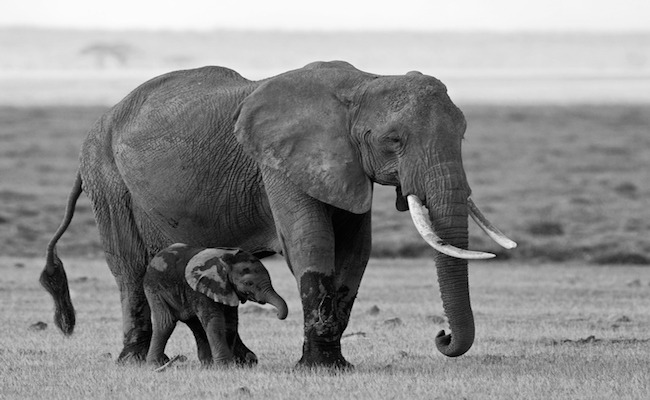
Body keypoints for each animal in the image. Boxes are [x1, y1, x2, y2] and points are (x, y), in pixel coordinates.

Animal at [143, 244, 288, 366]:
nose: (278, 314)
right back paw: (156, 364)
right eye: (248, 283)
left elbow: (230, 323)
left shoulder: (227, 289)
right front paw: (225, 366)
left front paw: (230, 364)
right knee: (165, 323)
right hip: (155, 289)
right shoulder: (199, 289)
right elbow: (215, 321)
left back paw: (207, 364)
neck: (225, 262)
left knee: (196, 325)